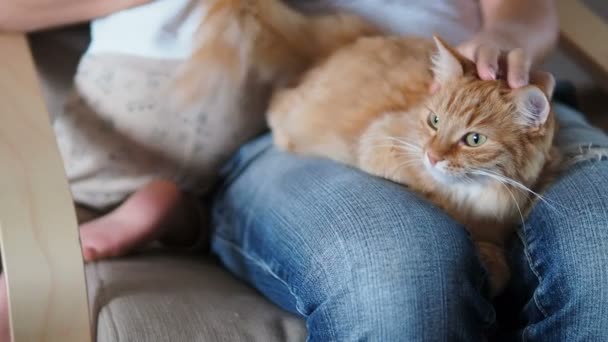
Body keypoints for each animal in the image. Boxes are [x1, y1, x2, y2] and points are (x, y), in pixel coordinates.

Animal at [186, 0, 560, 294]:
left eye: (474, 139)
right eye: (435, 121)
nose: (432, 156)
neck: (477, 197)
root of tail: (350, 38)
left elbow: (498, 258)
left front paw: (493, 263)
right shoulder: (381, 142)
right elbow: (440, 202)